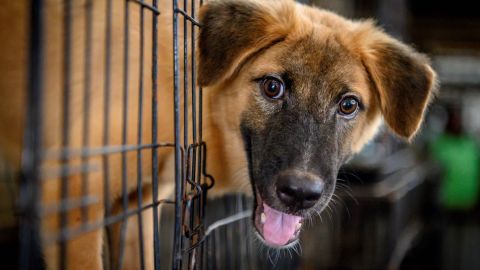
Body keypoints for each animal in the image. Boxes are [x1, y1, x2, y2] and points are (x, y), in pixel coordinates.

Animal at [0, 0, 436, 268]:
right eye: (273, 87)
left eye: (348, 105)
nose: (300, 195)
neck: (177, 81)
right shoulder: (76, 196)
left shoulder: (136, 203)